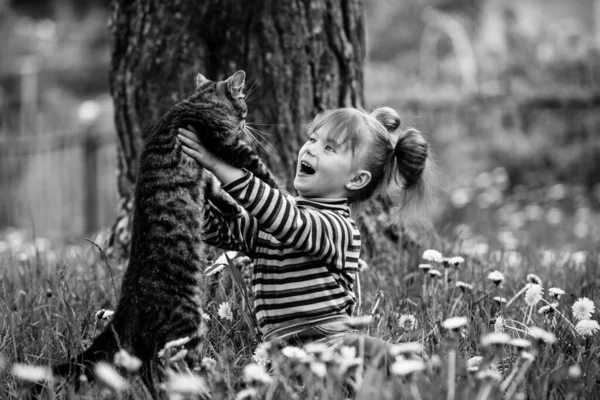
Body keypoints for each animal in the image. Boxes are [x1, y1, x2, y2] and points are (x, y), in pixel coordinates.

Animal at [52, 70, 278, 392]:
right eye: (244, 104)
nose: (246, 121)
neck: (196, 102)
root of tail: (125, 306)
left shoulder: (207, 173)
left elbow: (215, 187)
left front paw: (233, 208)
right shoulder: (228, 144)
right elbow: (258, 170)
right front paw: (284, 191)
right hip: (188, 328)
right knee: (171, 372)